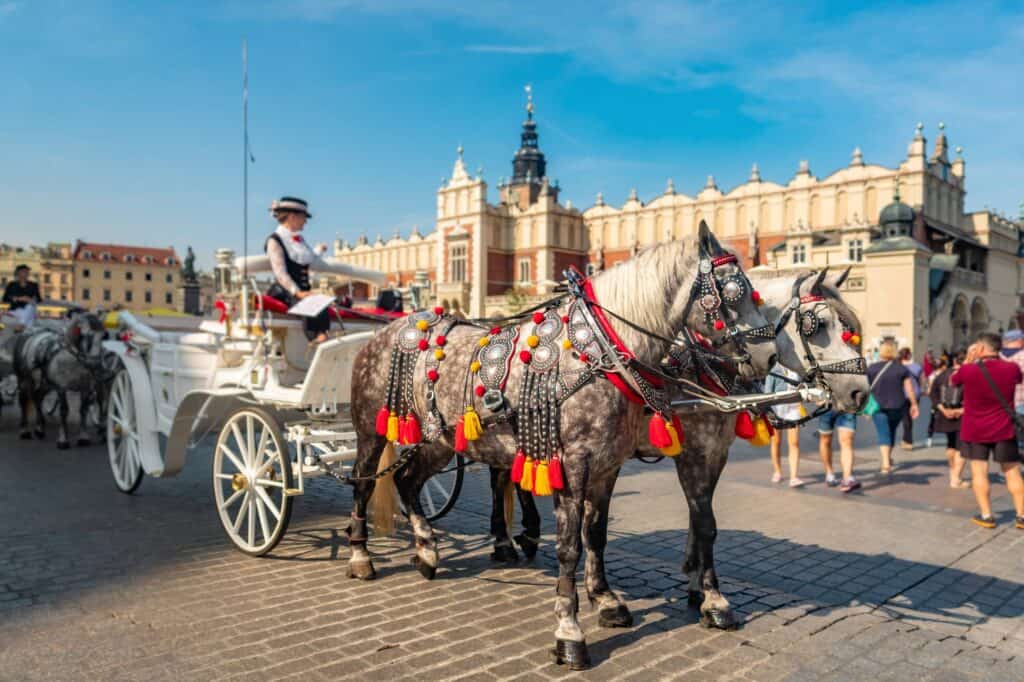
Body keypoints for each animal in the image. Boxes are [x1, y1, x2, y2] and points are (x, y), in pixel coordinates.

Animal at [12, 312, 108, 448]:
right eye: (88, 336)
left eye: (104, 336)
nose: (95, 364)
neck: (74, 359)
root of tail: (29, 331)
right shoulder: (61, 387)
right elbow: (64, 410)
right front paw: (63, 440)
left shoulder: (85, 387)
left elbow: (83, 409)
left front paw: (83, 437)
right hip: (24, 379)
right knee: (23, 400)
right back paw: (25, 430)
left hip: (45, 382)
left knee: (37, 397)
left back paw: (39, 428)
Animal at [346, 223, 779, 669]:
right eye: (734, 291)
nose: (769, 356)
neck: (600, 352)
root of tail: (388, 330)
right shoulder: (578, 463)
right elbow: (571, 546)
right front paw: (570, 633)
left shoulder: (610, 463)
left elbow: (599, 533)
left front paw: (608, 599)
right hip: (371, 429)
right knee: (364, 482)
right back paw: (362, 557)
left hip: (440, 439)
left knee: (408, 481)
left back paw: (428, 550)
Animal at [487, 266, 870, 633]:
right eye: (817, 325)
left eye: (851, 327)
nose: (860, 393)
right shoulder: (694, 449)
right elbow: (703, 520)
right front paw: (712, 600)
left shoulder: (715, 451)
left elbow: (700, 519)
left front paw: (695, 583)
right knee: (504, 478)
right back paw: (510, 540)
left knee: (508, 476)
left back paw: (517, 537)